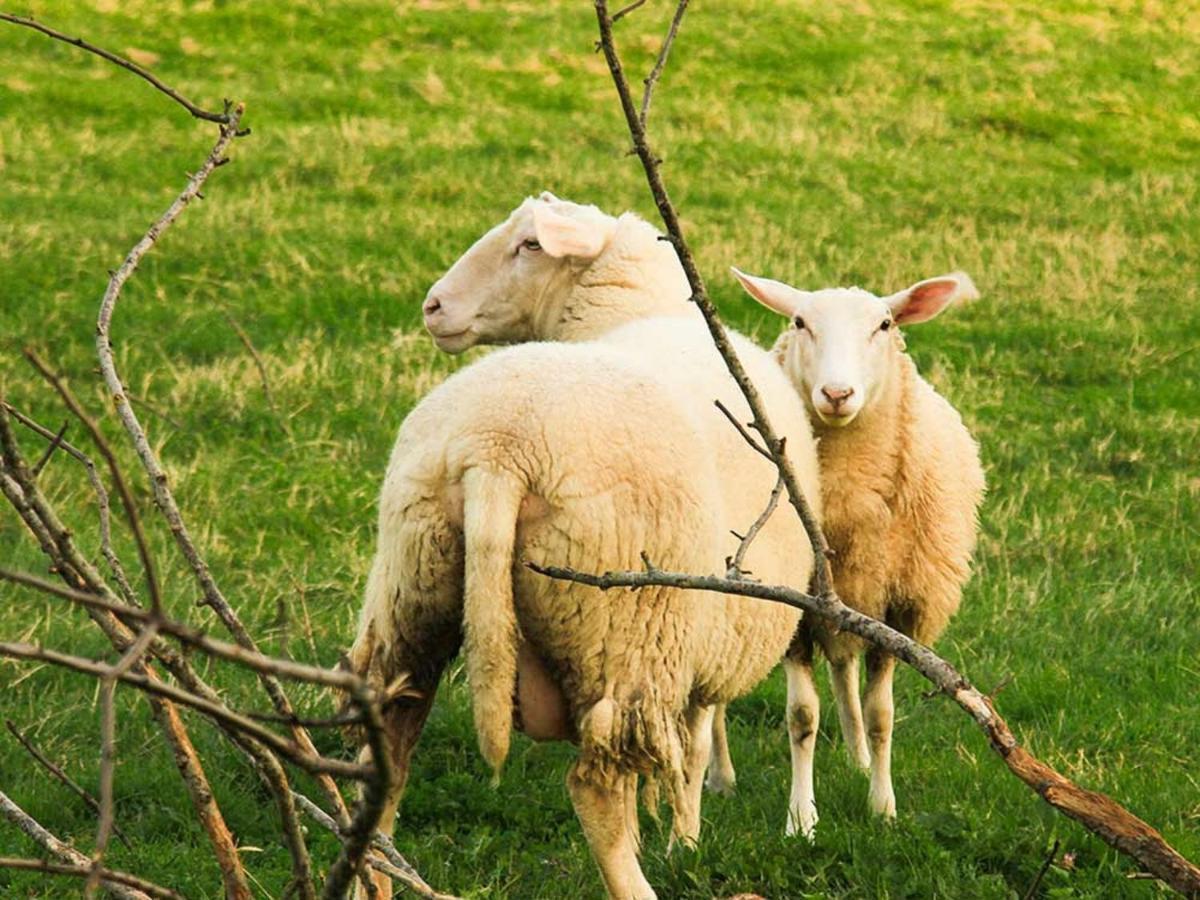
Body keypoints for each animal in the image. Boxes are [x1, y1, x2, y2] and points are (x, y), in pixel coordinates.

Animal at [724, 266, 988, 840]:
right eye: (800, 323)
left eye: (884, 325)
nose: (837, 393)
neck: (843, 504)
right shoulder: (795, 607)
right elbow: (802, 717)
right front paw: (801, 818)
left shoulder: (895, 606)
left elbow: (880, 714)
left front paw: (882, 805)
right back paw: (718, 778)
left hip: (855, 598)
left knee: (844, 673)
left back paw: (858, 759)